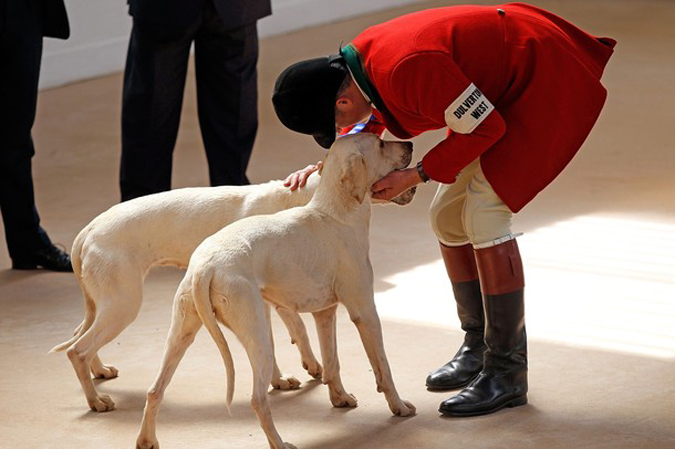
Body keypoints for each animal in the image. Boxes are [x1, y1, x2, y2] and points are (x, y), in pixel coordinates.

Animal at [137, 134, 418, 448]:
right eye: (380, 144)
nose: (409, 144)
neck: (334, 214)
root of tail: (205, 267)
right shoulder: (366, 313)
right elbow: (384, 369)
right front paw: (399, 407)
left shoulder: (325, 315)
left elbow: (332, 364)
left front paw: (340, 398)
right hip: (258, 336)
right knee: (257, 399)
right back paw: (280, 443)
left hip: (182, 333)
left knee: (154, 390)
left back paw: (146, 440)